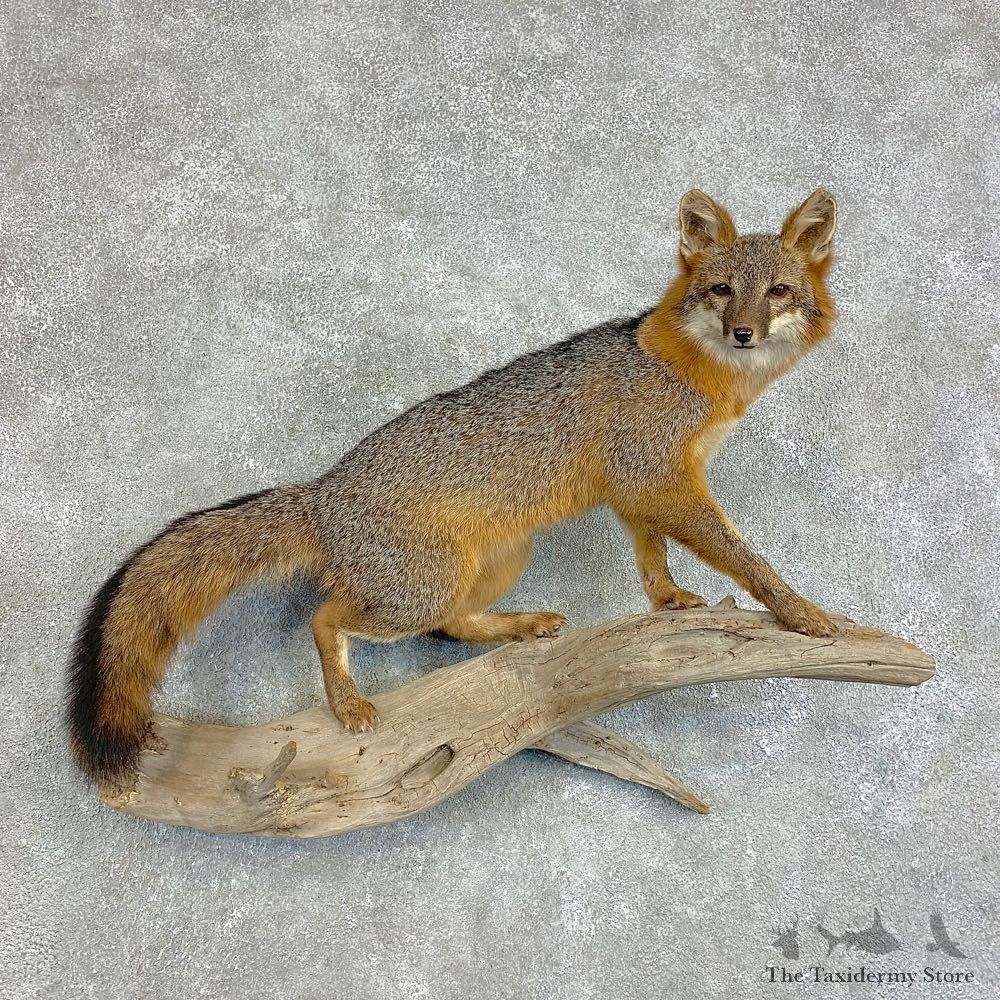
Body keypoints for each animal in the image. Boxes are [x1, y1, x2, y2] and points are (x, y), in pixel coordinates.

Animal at [68, 188, 841, 784]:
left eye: (776, 292)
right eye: (722, 291)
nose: (743, 332)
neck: (700, 379)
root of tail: (324, 490)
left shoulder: (644, 490)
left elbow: (652, 557)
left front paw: (671, 599)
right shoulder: (657, 478)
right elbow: (744, 556)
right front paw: (799, 610)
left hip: (497, 561)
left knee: (457, 624)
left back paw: (521, 627)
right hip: (418, 589)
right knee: (328, 617)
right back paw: (348, 702)